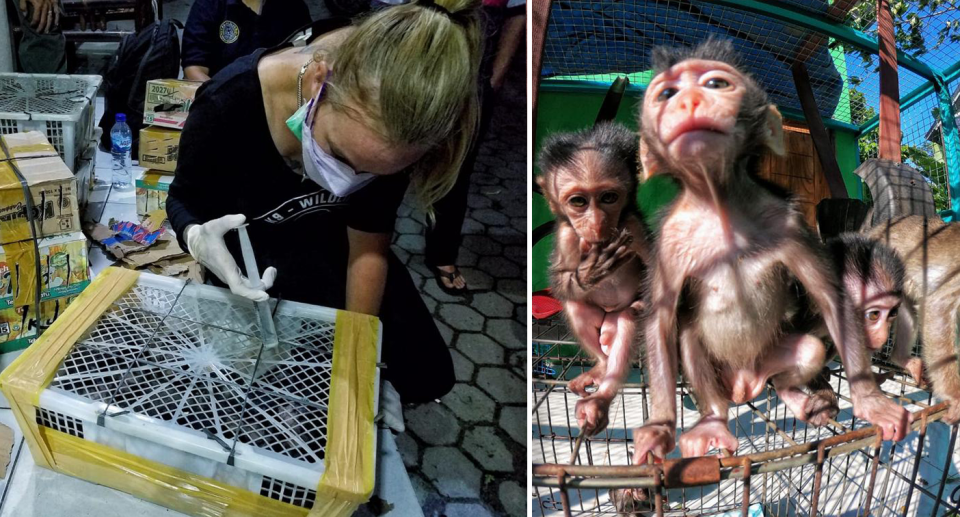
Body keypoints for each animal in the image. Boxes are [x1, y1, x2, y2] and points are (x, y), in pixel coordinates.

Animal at [536, 123, 648, 434]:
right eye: (578, 201)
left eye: (609, 198)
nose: (597, 222)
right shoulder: (565, 233)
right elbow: (562, 279)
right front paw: (590, 271)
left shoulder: (633, 225)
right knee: (575, 306)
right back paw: (600, 367)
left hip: (618, 317)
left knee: (627, 320)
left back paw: (603, 395)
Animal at [632, 39, 908, 460]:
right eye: (666, 94)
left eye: (715, 83)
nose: (689, 100)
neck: (721, 209)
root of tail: (744, 385)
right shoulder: (667, 240)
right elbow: (661, 320)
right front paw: (659, 428)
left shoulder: (787, 223)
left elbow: (831, 297)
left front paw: (870, 400)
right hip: (722, 375)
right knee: (689, 338)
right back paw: (713, 419)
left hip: (771, 359)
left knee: (807, 351)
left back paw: (791, 392)